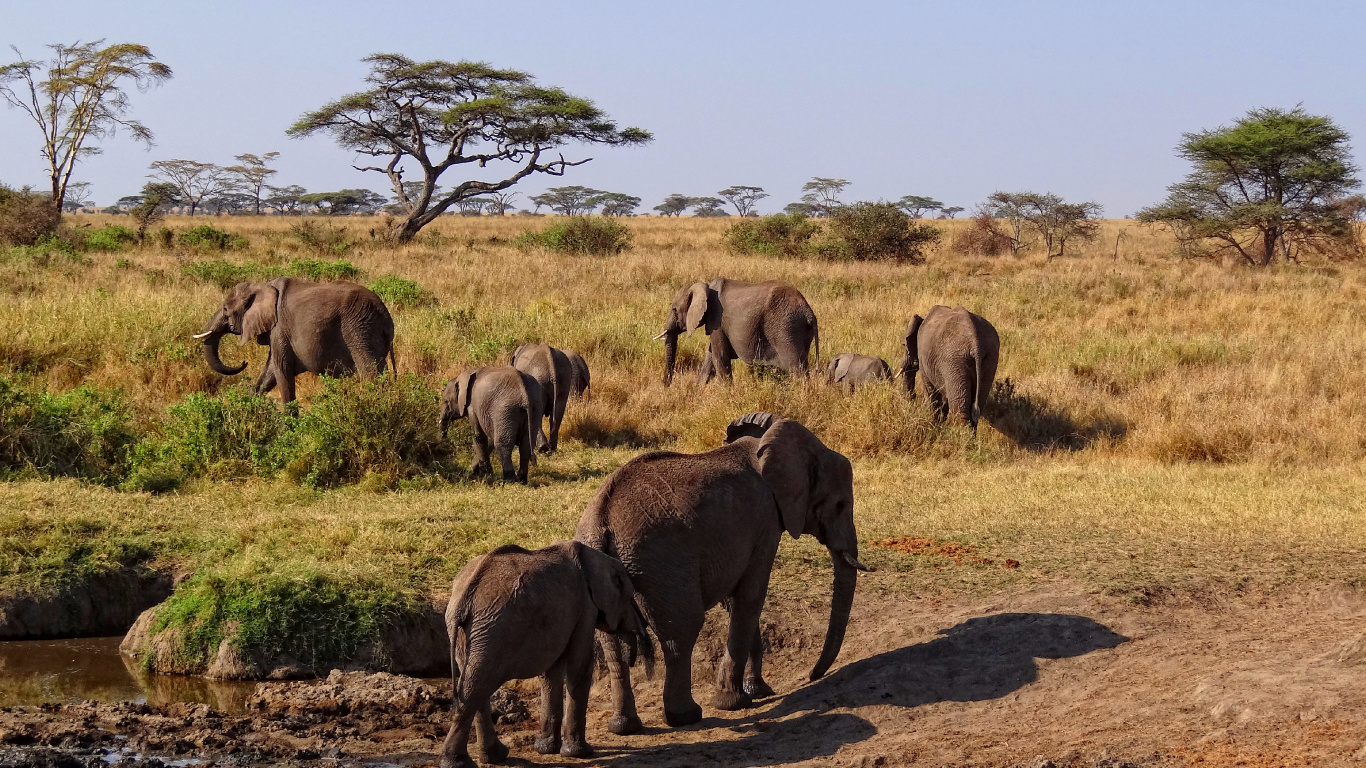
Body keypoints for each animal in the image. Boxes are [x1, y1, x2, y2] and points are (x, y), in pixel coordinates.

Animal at [192, 274, 396, 401]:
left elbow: (281, 369)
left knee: (370, 372)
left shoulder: (280, 328)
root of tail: (385, 316)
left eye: (225, 309)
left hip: (359, 330)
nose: (244, 363)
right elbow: (269, 372)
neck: (263, 285)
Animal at [437, 538, 650, 765]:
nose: (634, 657)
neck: (598, 558)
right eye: (629, 597)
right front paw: (579, 753)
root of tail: (462, 601)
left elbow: (551, 672)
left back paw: (493, 757)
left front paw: (546, 750)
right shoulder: (585, 606)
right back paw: (458, 762)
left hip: (471, 632)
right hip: (492, 629)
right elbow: (580, 665)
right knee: (476, 686)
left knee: (474, 686)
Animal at [576, 412, 863, 727]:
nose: (813, 676)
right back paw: (687, 715)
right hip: (661, 566)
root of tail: (601, 522)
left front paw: (758, 691)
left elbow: (735, 601)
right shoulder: (765, 521)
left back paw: (624, 727)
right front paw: (734, 702)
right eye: (840, 505)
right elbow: (751, 596)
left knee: (612, 644)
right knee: (682, 631)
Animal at [652, 276, 814, 385]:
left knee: (797, 369)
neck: (706, 286)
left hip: (786, 329)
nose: (666, 386)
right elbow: (710, 358)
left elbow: (720, 357)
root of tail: (808, 313)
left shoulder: (717, 319)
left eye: (674, 309)